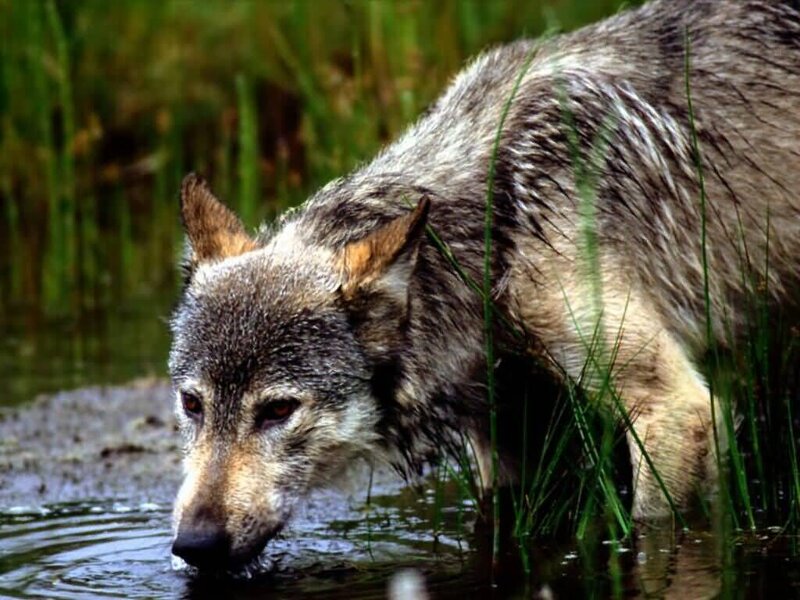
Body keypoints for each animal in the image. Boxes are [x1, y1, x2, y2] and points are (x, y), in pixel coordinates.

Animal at [168, 0, 800, 569]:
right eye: (192, 403)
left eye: (278, 410)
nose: (194, 546)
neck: (493, 231)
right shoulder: (504, 448)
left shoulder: (676, 411)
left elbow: (651, 530)